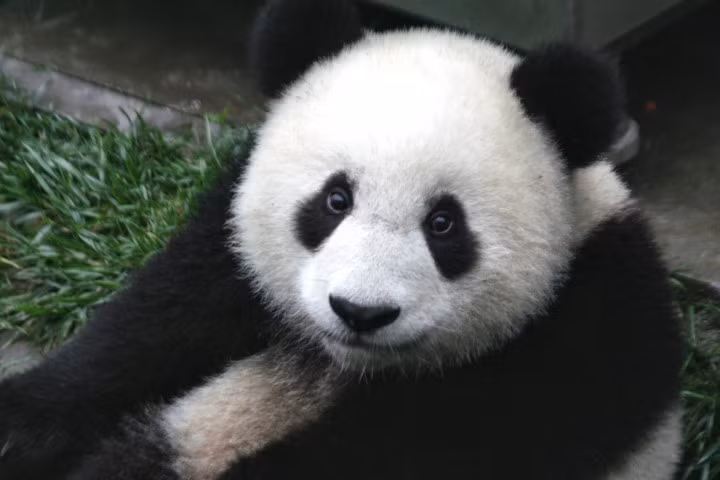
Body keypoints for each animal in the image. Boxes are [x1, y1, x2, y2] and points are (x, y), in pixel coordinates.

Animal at [0, 0, 684, 479]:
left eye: (444, 224)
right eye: (335, 201)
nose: (361, 312)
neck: (350, 365)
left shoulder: (580, 340)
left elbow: (413, 451)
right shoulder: (230, 242)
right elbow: (153, 323)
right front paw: (19, 427)